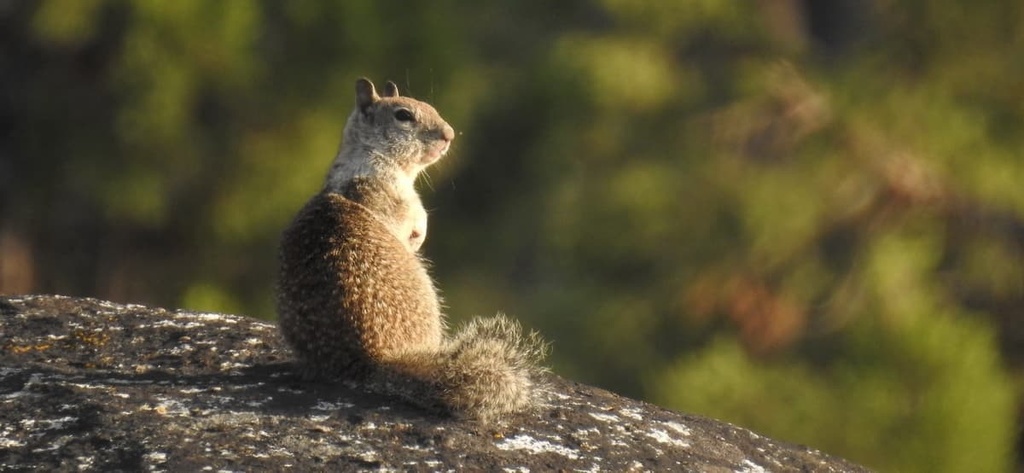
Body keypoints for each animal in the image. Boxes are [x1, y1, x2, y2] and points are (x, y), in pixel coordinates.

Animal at [276, 78, 547, 422]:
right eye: (403, 115)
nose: (449, 135)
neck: (372, 155)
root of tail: (374, 361)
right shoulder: (389, 195)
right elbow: (412, 220)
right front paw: (418, 235)